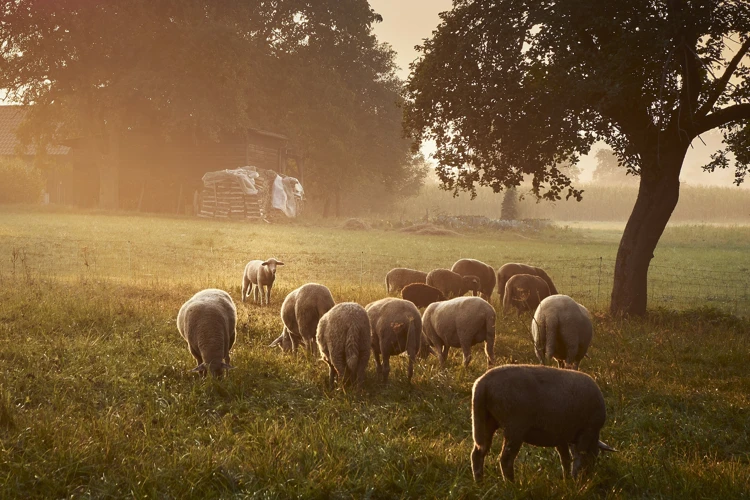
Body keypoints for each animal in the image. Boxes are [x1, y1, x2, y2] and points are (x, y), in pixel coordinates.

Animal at [472, 366, 620, 482]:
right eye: (595, 456)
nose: (588, 477)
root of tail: (483, 383)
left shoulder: (561, 435)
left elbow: (565, 459)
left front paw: (567, 480)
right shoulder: (587, 430)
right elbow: (579, 458)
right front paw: (576, 480)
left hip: (486, 421)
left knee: (478, 454)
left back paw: (479, 483)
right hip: (514, 427)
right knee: (506, 460)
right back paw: (511, 486)